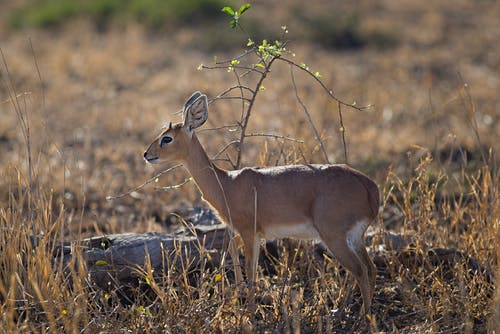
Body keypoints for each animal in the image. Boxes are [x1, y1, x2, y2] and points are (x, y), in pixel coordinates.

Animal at [144, 92, 378, 318]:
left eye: (167, 138)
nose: (146, 154)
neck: (226, 184)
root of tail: (369, 187)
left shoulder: (249, 232)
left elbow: (250, 273)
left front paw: (249, 313)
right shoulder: (252, 236)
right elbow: (241, 264)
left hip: (334, 237)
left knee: (359, 270)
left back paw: (363, 318)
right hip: (355, 237)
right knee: (371, 268)